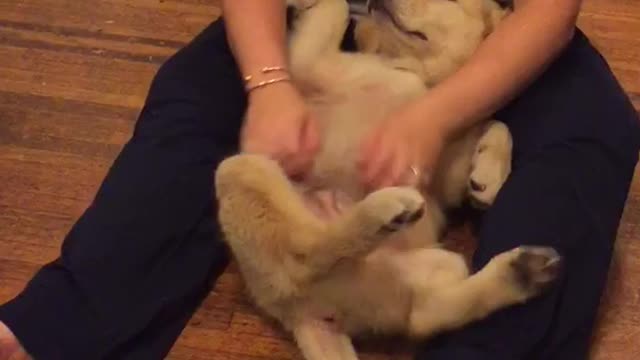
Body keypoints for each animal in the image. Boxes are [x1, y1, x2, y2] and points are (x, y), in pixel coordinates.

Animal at [214, 1, 560, 358]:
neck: (418, 77)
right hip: (245, 174)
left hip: (418, 269)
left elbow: (495, 125)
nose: (373, 2)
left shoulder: (438, 166)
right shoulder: (310, 63)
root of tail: (302, 315)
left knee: (403, 306)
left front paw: (488, 175)